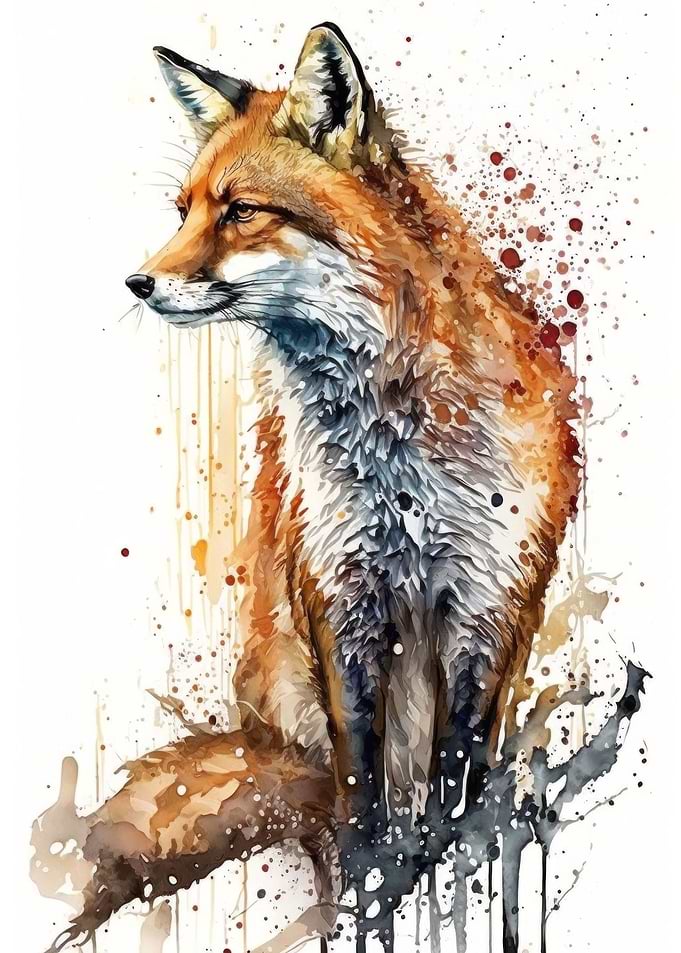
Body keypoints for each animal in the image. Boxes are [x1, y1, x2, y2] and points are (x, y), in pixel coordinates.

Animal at [42, 22, 579, 953]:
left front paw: (450, 874)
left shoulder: (488, 603)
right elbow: (361, 795)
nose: (137, 283)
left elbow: (461, 789)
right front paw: (372, 891)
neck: (396, 459)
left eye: (240, 210)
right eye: (182, 211)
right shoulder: (341, 598)